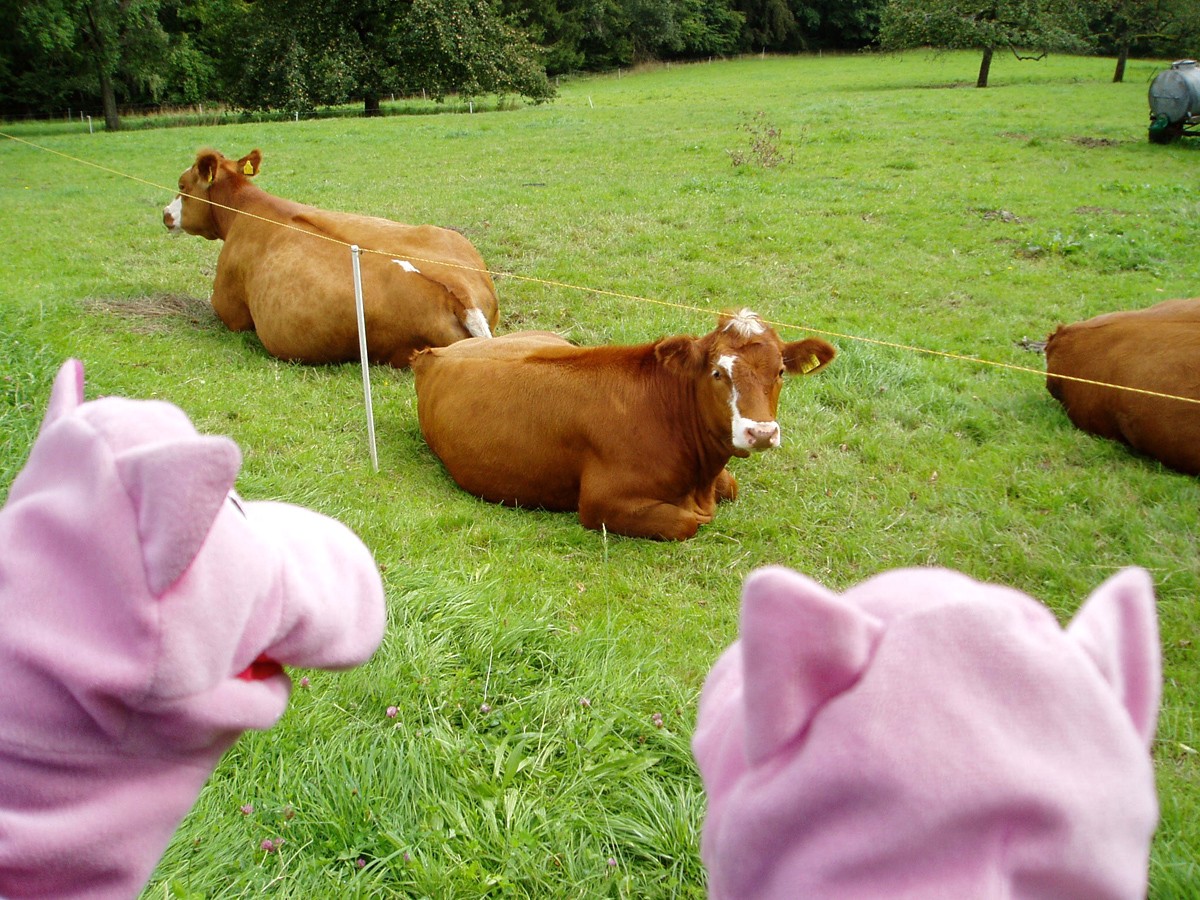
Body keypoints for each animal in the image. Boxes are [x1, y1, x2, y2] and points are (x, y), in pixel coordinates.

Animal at [411, 310, 837, 540]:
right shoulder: (602, 503)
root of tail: (434, 353)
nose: (761, 433)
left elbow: (730, 486)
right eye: (718, 373)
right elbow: (689, 522)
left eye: (780, 371)